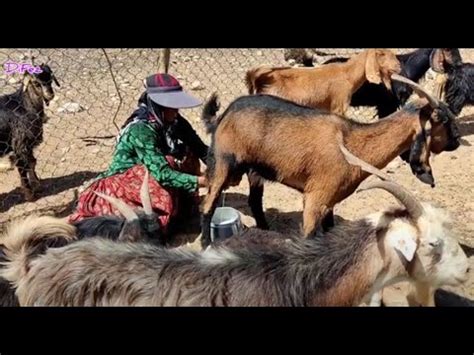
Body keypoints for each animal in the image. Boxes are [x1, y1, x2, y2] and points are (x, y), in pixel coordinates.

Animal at [0, 64, 60, 202]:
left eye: (50, 79)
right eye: (36, 83)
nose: (50, 95)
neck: (24, 106)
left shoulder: (29, 143)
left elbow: (32, 162)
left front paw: (37, 185)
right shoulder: (19, 143)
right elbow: (22, 166)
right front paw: (29, 194)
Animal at [200, 75, 460, 248]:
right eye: (444, 120)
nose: (457, 139)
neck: (354, 142)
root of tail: (223, 115)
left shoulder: (330, 202)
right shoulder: (315, 199)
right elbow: (308, 238)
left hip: (256, 170)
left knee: (254, 202)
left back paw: (266, 232)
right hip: (222, 162)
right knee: (209, 204)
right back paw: (205, 244)